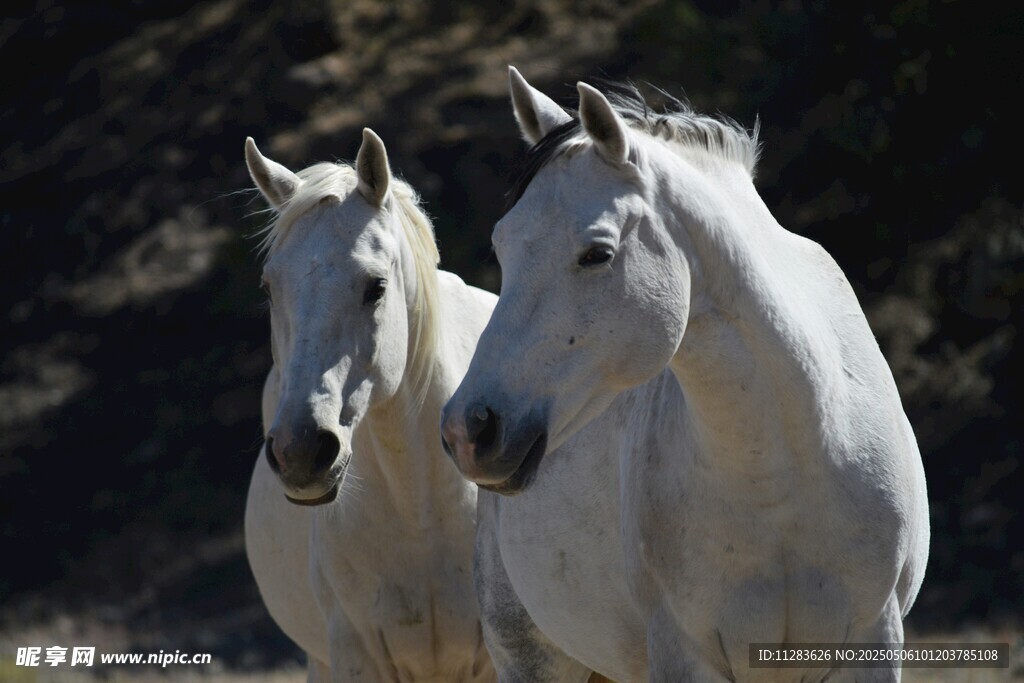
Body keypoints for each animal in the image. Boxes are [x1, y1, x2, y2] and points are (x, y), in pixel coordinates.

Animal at [440, 67, 930, 682]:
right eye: (502, 247)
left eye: (597, 254)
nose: (468, 430)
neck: (784, 473)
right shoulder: (684, 653)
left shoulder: (872, 643)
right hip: (529, 657)